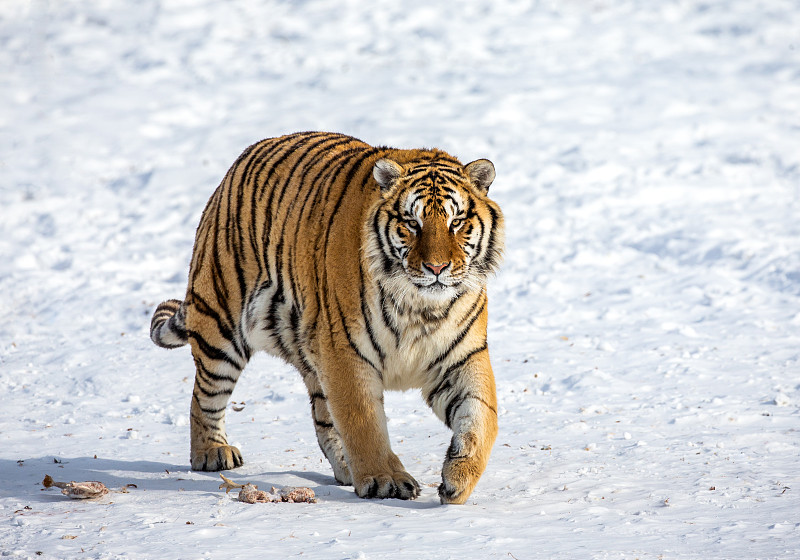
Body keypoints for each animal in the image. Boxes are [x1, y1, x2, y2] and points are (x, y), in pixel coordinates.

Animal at [152, 131, 504, 504]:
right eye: (412, 223)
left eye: (456, 223)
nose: (436, 268)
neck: (421, 307)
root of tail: (237, 165)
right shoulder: (346, 352)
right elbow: (363, 421)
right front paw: (386, 479)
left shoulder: (462, 356)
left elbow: (482, 417)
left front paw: (459, 477)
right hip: (220, 324)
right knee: (203, 396)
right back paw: (211, 452)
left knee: (324, 420)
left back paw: (347, 468)